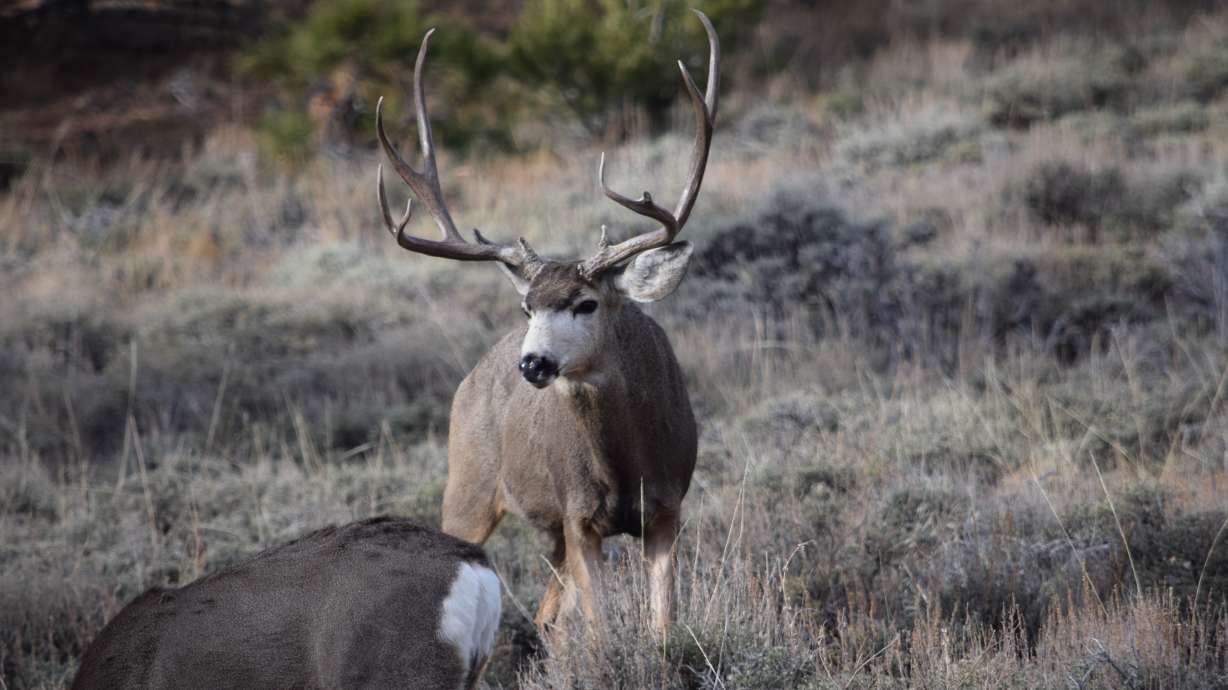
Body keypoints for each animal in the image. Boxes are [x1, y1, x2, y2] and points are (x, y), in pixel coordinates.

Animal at [373, 10, 718, 637]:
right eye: (527, 307)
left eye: (586, 303)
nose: (533, 363)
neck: (625, 462)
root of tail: (470, 378)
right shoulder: (578, 514)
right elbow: (601, 633)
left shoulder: (667, 507)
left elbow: (663, 626)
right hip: (468, 485)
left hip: (546, 528)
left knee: (546, 617)